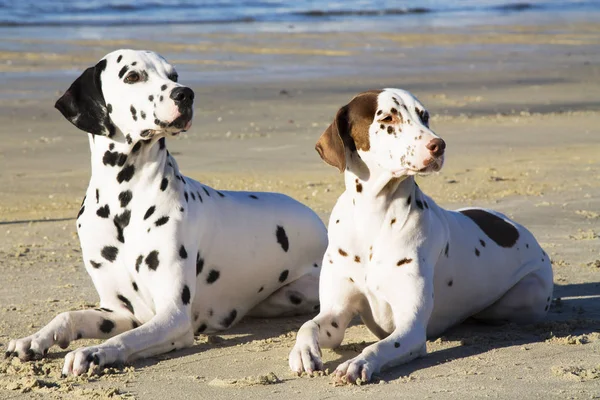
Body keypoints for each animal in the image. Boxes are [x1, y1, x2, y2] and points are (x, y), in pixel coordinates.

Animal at [4, 49, 328, 376]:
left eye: (173, 75)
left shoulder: (173, 316)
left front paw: (93, 352)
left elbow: (124, 339)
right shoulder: (119, 311)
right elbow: (69, 316)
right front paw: (33, 339)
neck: (123, 204)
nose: (185, 94)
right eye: (132, 76)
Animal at [288, 89, 556, 382]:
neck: (373, 216)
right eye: (388, 118)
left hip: (526, 296)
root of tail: (519, 228)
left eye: (424, 116)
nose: (439, 145)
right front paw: (303, 352)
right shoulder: (335, 313)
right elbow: (307, 325)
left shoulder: (411, 327)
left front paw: (357, 362)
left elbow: (379, 346)